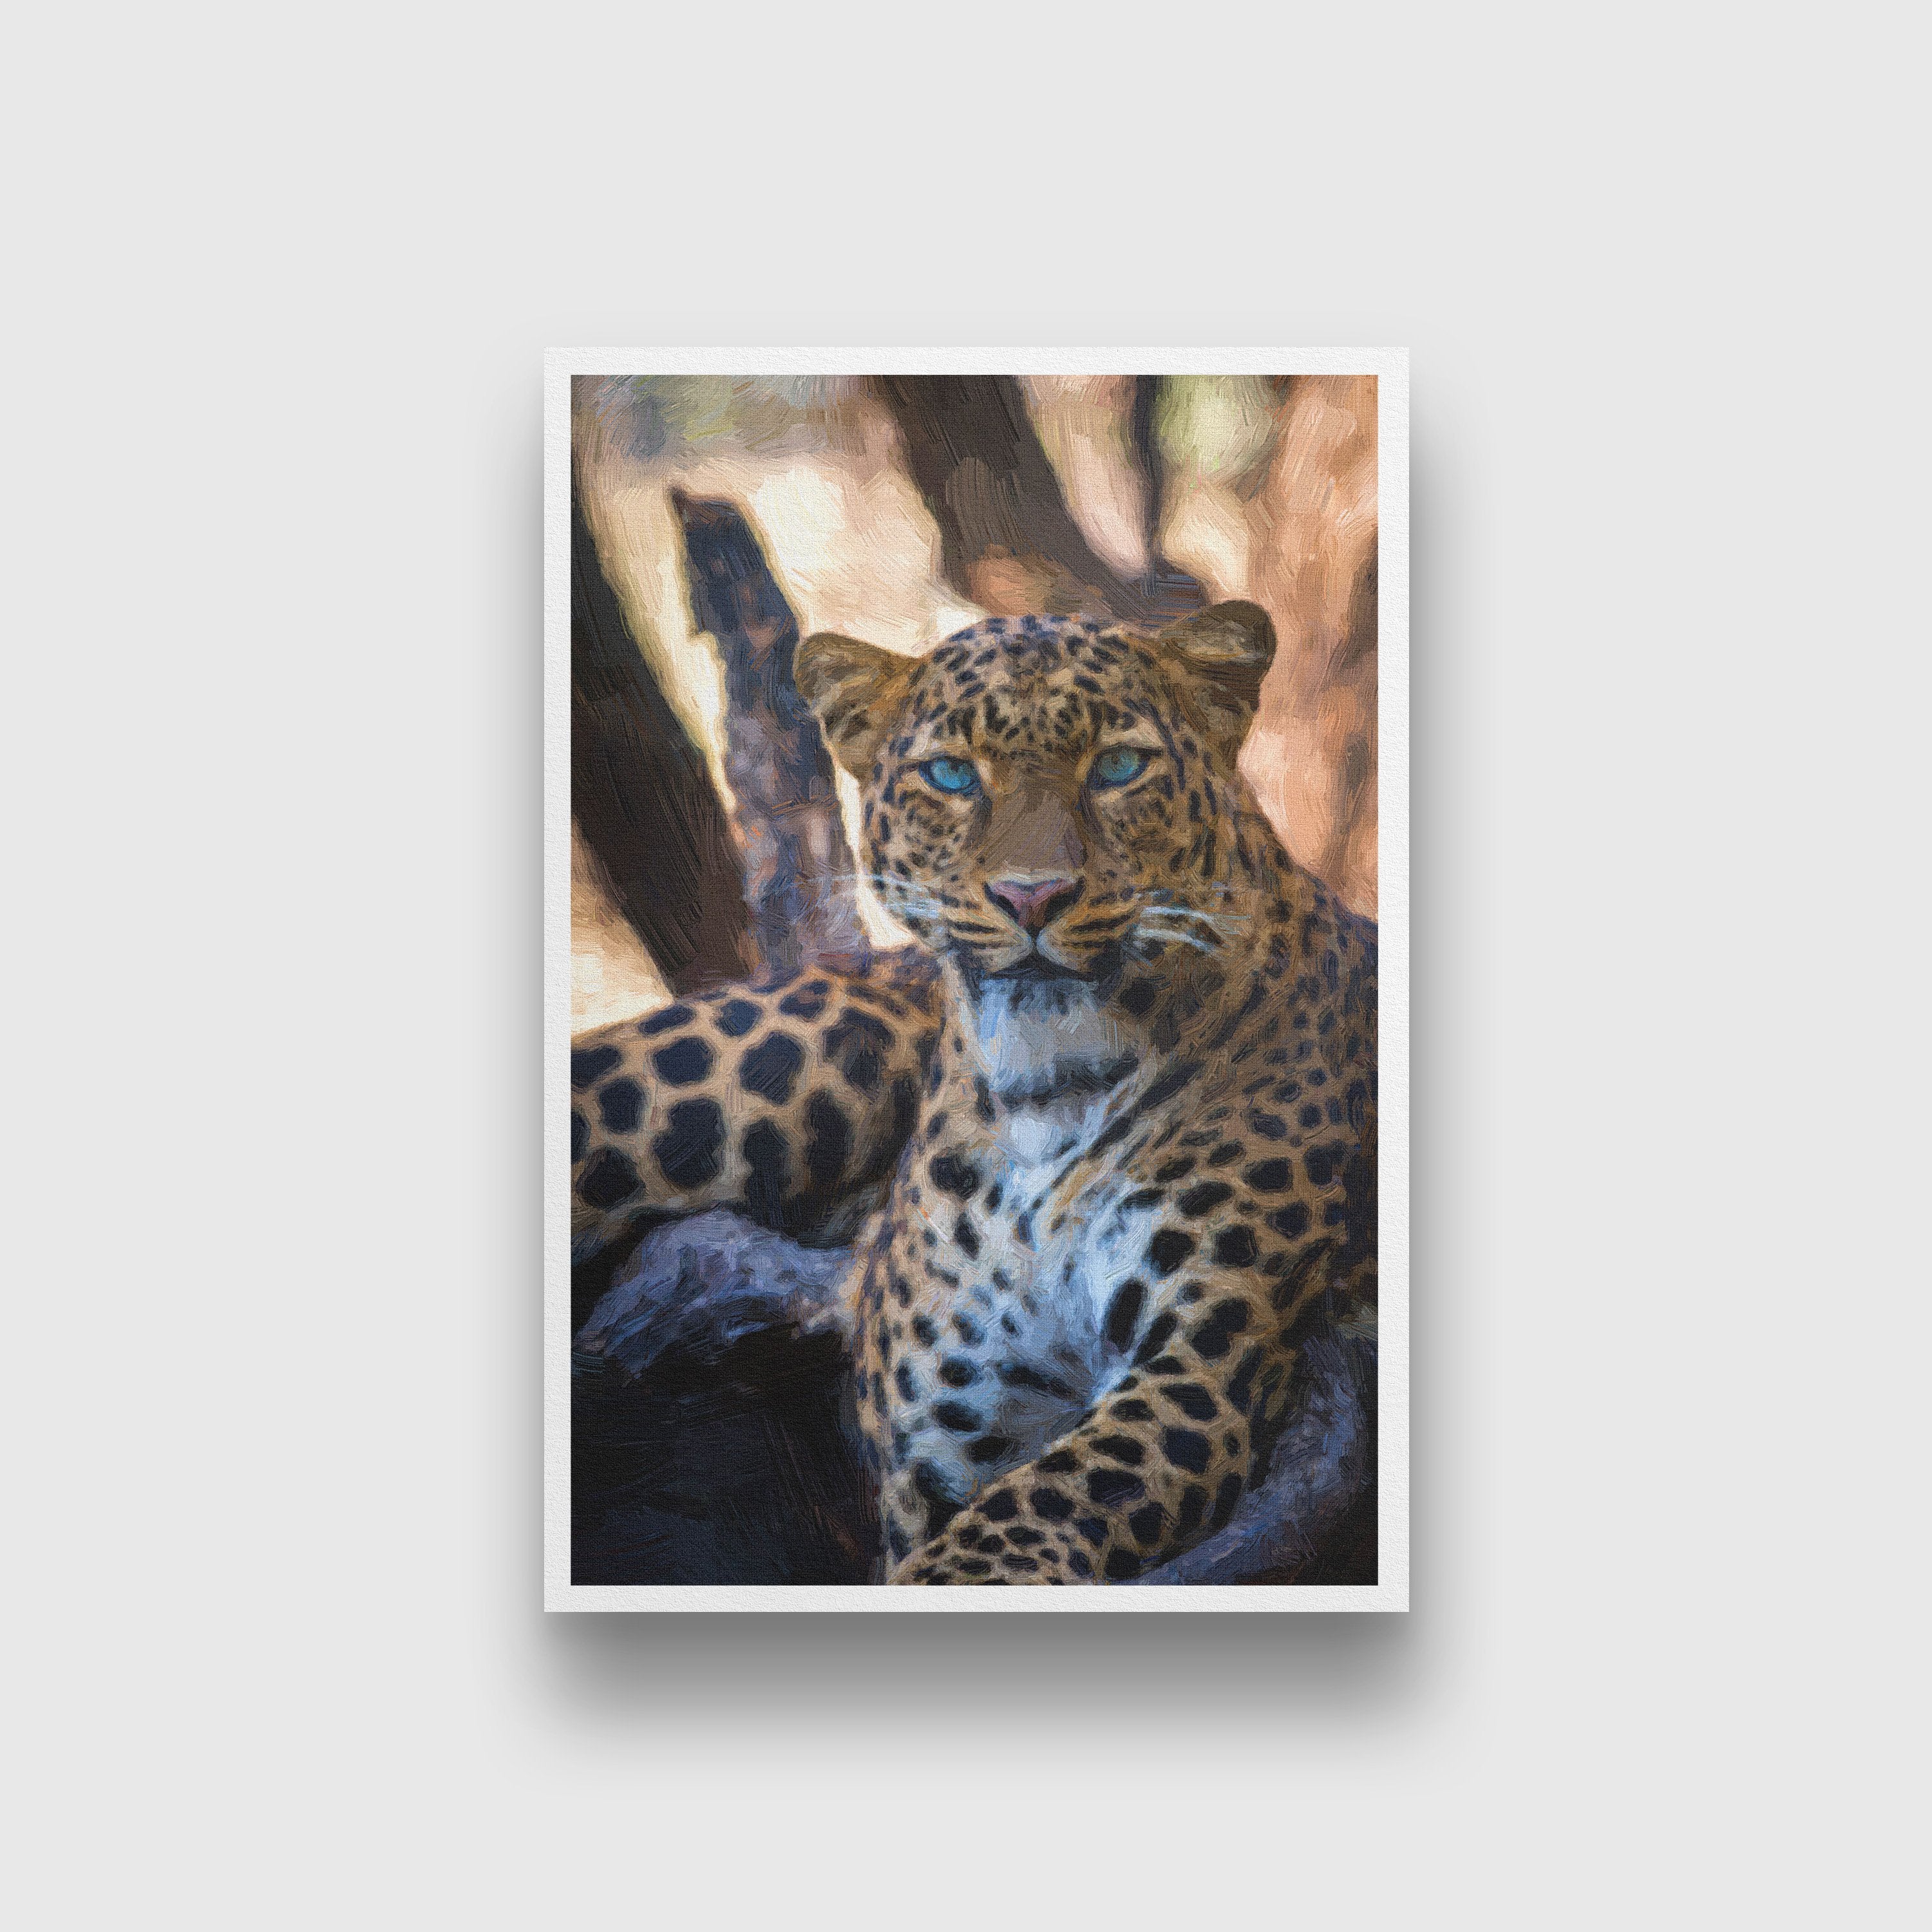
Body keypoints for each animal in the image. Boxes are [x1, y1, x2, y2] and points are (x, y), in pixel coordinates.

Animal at [568, 601, 1377, 1585]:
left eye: (1119, 766)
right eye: (952, 775)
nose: (1032, 897)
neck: (1047, 1097)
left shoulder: (1207, 1360)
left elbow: (1027, 1513)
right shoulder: (949, 1432)